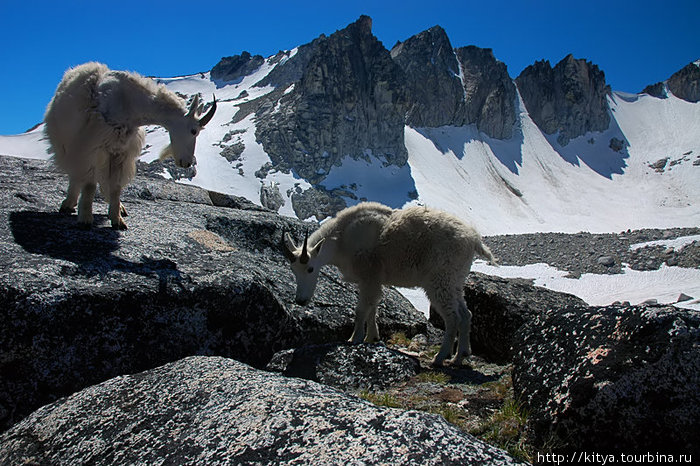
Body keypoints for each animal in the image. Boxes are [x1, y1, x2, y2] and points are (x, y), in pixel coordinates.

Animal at [44, 62, 216, 229]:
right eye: (193, 131)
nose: (186, 163)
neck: (129, 103)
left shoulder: (121, 151)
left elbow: (116, 186)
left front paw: (117, 220)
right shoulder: (93, 146)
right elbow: (90, 184)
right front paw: (85, 219)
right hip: (66, 142)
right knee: (75, 173)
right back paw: (68, 203)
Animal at [282, 202, 494, 366]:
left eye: (310, 269)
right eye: (293, 270)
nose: (300, 301)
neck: (342, 239)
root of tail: (474, 239)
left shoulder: (369, 276)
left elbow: (361, 310)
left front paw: (354, 338)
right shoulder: (373, 280)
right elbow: (373, 307)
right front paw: (372, 337)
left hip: (440, 280)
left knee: (452, 318)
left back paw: (440, 358)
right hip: (455, 281)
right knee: (466, 314)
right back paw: (460, 356)